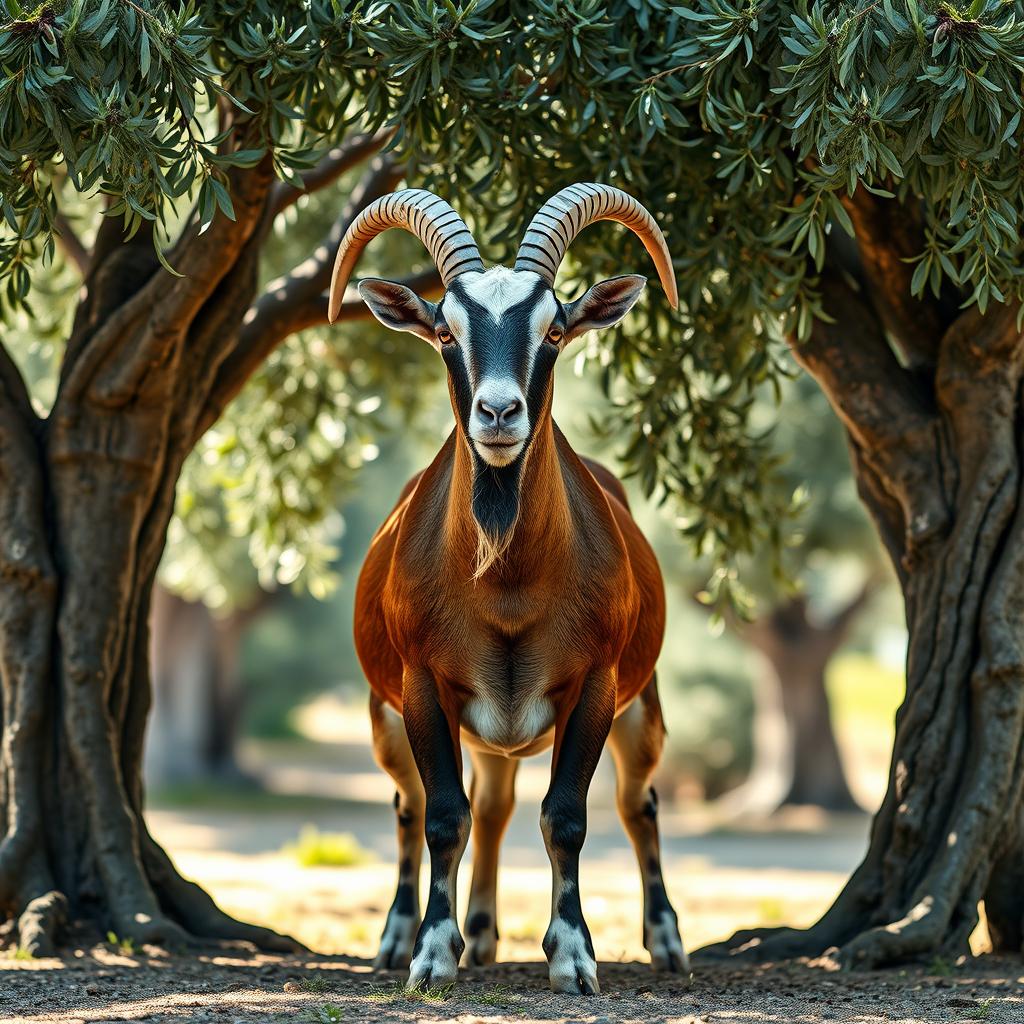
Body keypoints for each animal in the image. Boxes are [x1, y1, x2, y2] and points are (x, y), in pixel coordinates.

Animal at [329, 183, 686, 994]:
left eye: (553, 330)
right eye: (444, 332)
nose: (498, 414)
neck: (506, 587)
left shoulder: (595, 686)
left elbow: (566, 817)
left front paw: (575, 959)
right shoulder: (423, 686)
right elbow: (443, 816)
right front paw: (431, 957)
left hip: (639, 711)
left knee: (634, 802)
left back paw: (664, 941)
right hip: (391, 719)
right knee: (433, 806)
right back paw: (425, 937)